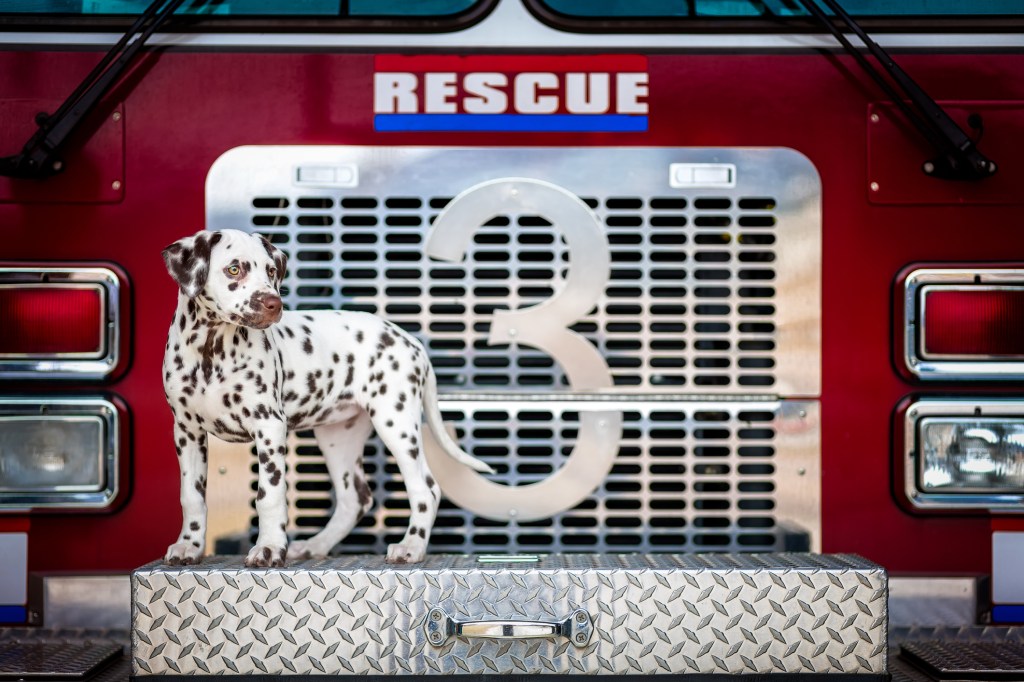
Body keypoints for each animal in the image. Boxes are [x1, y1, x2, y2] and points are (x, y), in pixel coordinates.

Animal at [161, 225, 493, 565]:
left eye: (270, 271)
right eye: (234, 269)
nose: (273, 303)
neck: (210, 351)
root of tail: (411, 341)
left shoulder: (268, 426)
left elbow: (269, 495)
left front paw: (268, 547)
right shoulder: (187, 432)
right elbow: (191, 496)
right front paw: (189, 545)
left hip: (396, 423)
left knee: (426, 489)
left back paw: (411, 546)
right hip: (338, 438)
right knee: (354, 499)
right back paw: (315, 545)